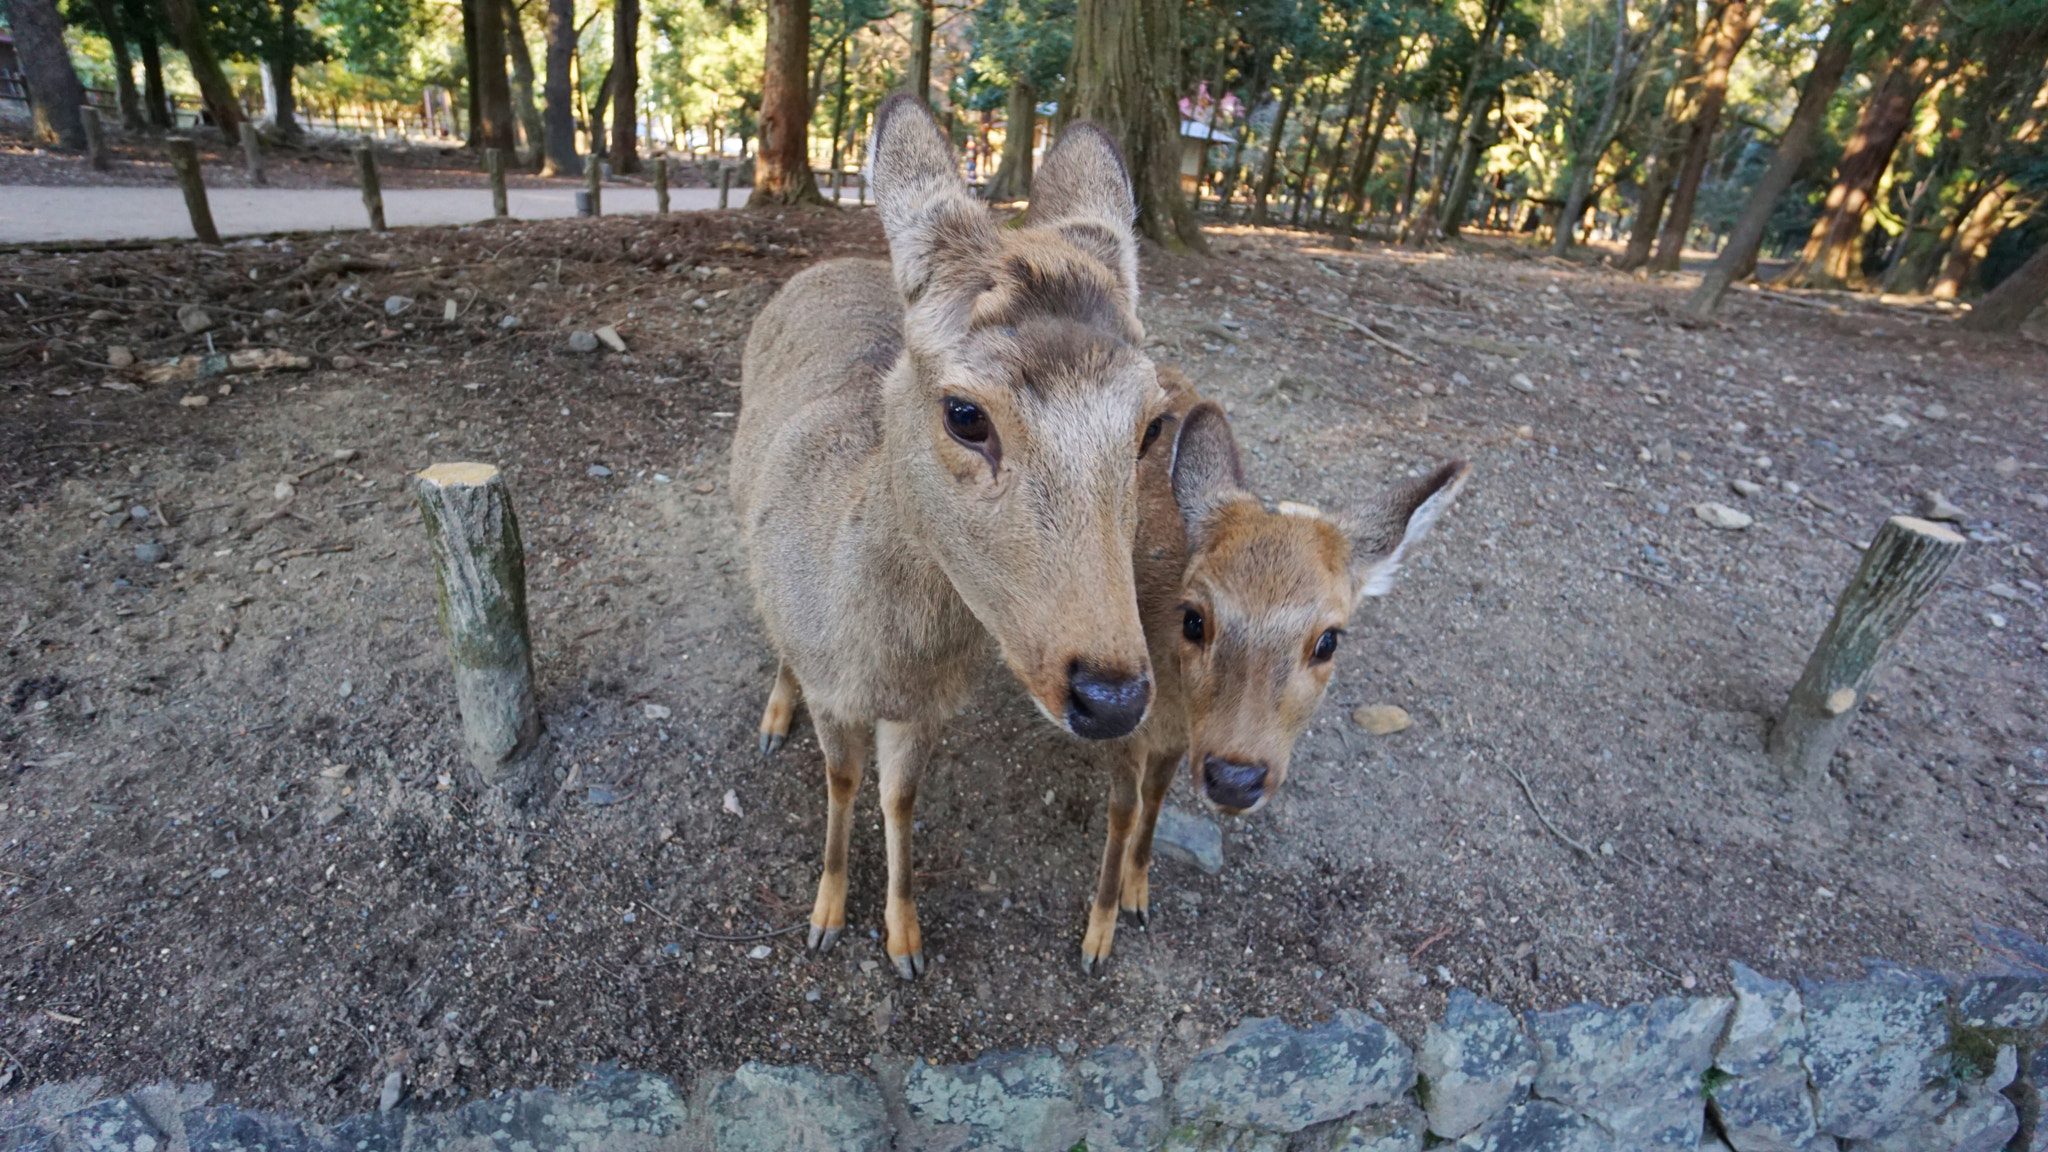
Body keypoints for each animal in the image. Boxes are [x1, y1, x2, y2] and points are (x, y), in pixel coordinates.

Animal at [737, 96, 1171, 975]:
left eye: (1152, 425)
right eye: (965, 413)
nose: (1111, 696)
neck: (881, 661)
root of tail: (824, 265)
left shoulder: (929, 707)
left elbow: (900, 797)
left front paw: (905, 939)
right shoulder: (834, 687)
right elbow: (840, 783)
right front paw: (824, 915)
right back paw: (772, 717)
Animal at [1081, 368, 1466, 967]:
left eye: (1329, 640)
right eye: (1194, 618)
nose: (1236, 777)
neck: (1169, 705)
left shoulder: (1178, 738)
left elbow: (1157, 798)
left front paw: (1138, 895)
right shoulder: (1120, 723)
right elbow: (1123, 811)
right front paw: (1097, 938)